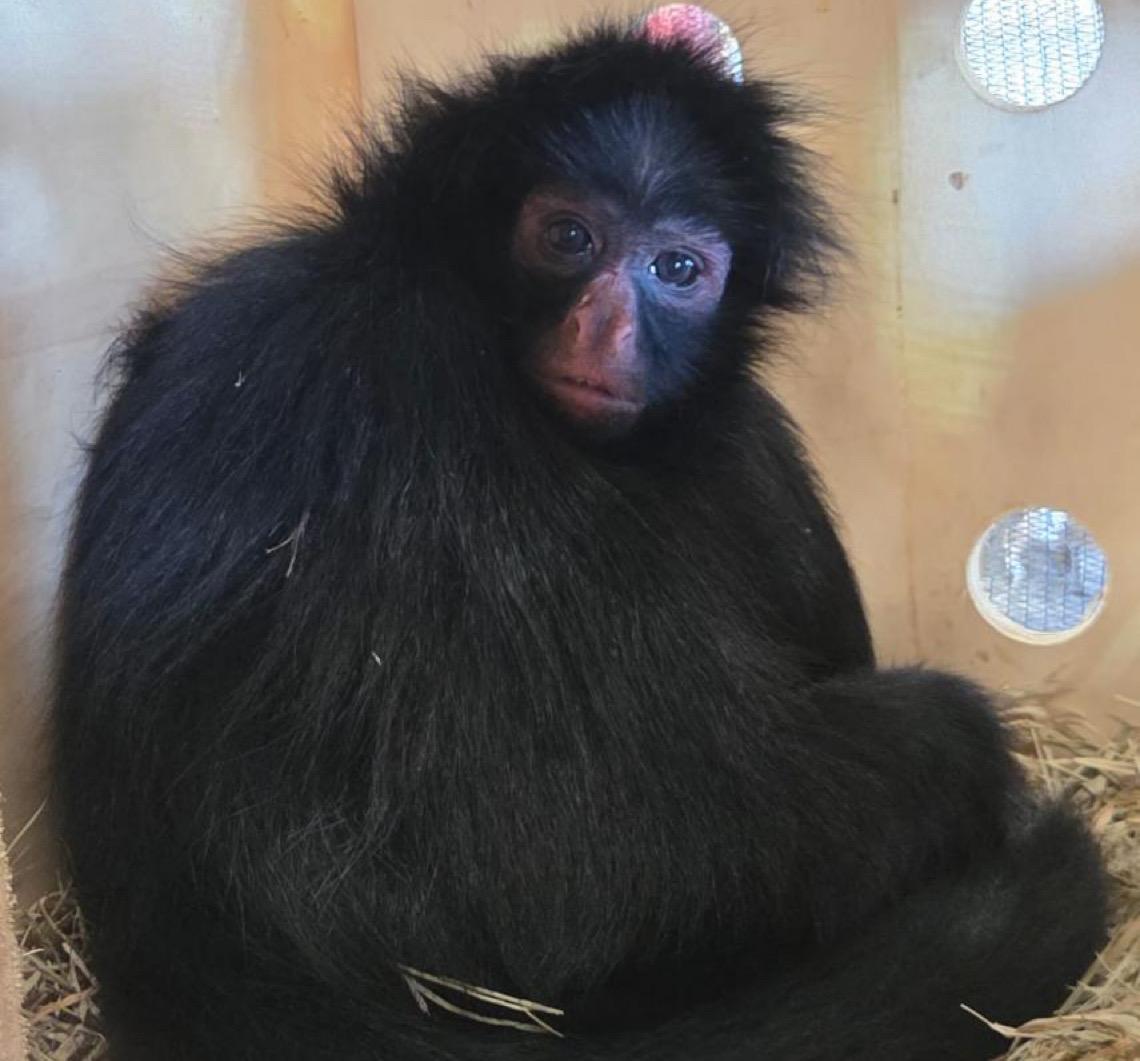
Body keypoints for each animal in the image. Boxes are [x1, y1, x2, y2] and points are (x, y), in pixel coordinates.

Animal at [53, 19, 1106, 1061]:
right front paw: (971, 756)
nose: (607, 326)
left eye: (676, 270)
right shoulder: (411, 386)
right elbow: (580, 880)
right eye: (567, 237)